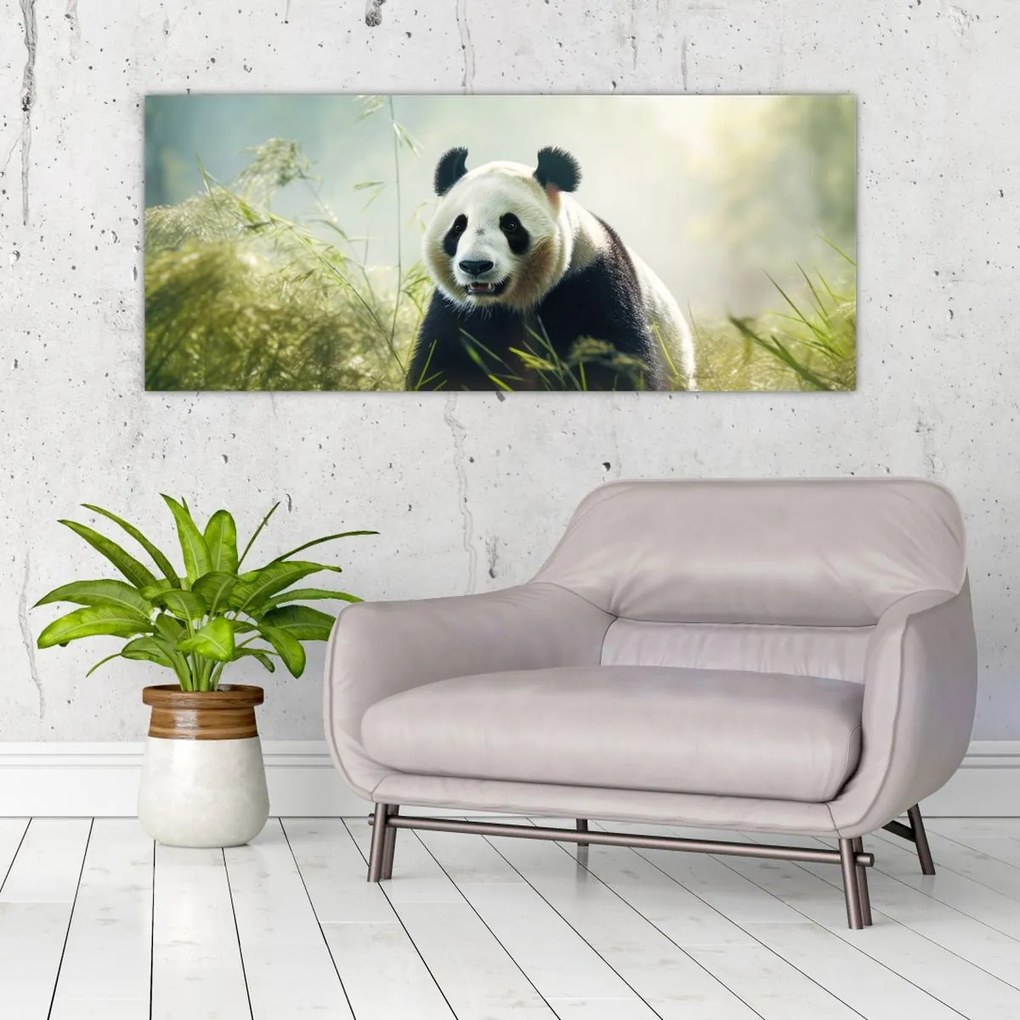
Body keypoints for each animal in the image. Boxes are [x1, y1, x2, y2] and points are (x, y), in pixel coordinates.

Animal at [406, 146, 697, 392]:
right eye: (458, 226)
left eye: (510, 225)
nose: (475, 265)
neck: (516, 300)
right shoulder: (459, 311)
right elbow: (446, 366)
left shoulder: (592, 281)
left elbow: (611, 362)